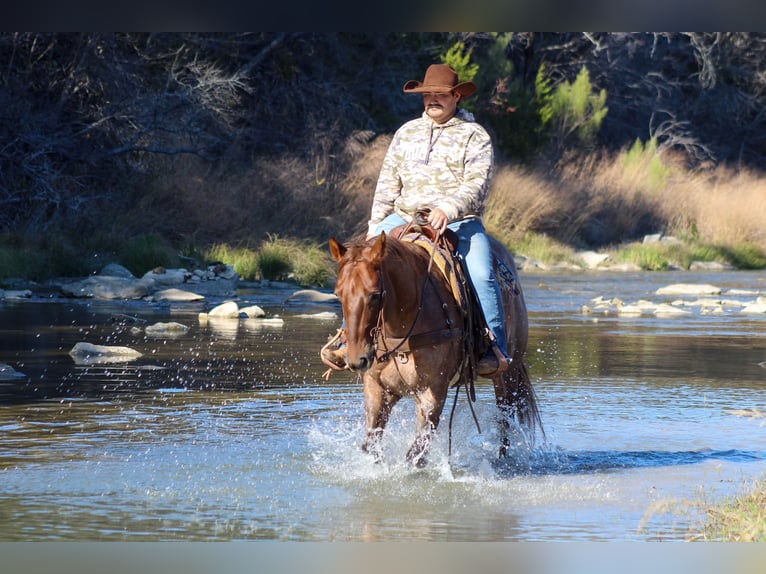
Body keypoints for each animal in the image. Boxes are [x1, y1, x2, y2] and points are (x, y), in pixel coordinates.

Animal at [326, 227, 542, 467]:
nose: (357, 359)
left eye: (374, 294)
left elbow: (416, 454)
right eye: (338, 293)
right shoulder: (377, 387)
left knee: (505, 420)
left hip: (508, 375)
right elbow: (372, 444)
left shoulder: (432, 394)